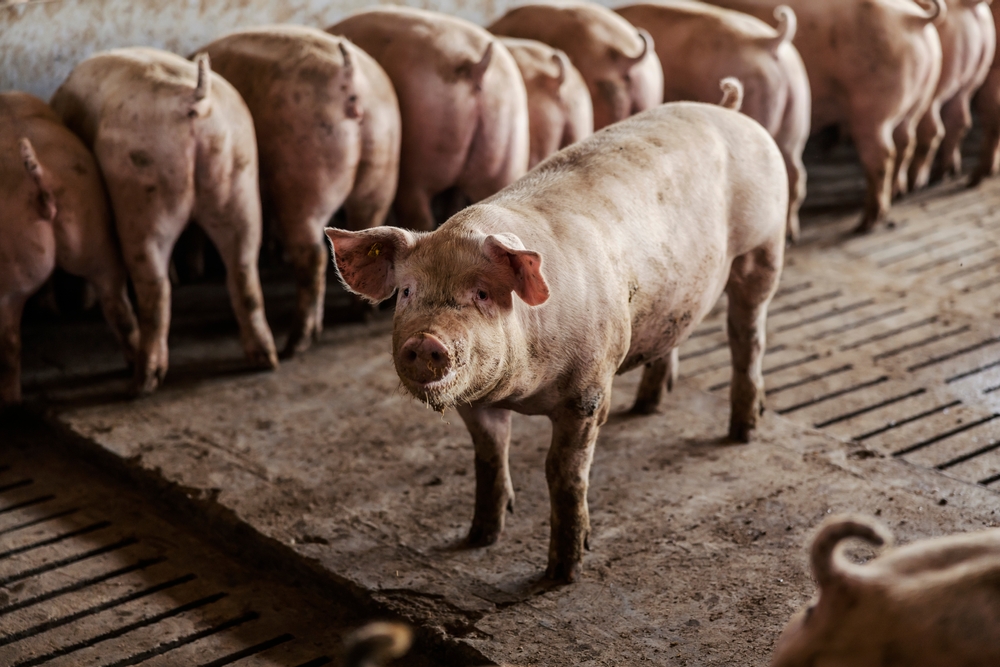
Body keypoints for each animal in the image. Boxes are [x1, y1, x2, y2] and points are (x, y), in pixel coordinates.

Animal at [0, 92, 139, 405]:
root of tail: (42, 182)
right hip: (96, 237)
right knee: (120, 311)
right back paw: (137, 376)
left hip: (8, 273)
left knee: (9, 344)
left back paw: (9, 402)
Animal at [50, 48, 278, 394]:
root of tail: (196, 99)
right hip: (239, 184)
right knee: (243, 272)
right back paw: (265, 359)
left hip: (144, 196)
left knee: (155, 290)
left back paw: (142, 382)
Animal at [199, 26, 402, 357]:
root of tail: (348, 75)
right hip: (382, 165)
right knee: (365, 227)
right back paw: (360, 312)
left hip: (304, 179)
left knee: (313, 255)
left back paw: (296, 344)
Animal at [325, 95, 787, 582]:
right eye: (408, 292)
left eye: (482, 293)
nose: (424, 341)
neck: (521, 390)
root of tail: (729, 108)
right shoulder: (475, 400)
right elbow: (489, 457)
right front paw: (479, 538)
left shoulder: (588, 390)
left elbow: (562, 473)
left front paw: (562, 573)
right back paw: (647, 406)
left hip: (764, 247)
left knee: (747, 335)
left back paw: (742, 431)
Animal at [707, 0, 944, 231]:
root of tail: (915, 18)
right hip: (918, 99)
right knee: (913, 137)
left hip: (872, 109)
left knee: (882, 155)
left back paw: (867, 223)